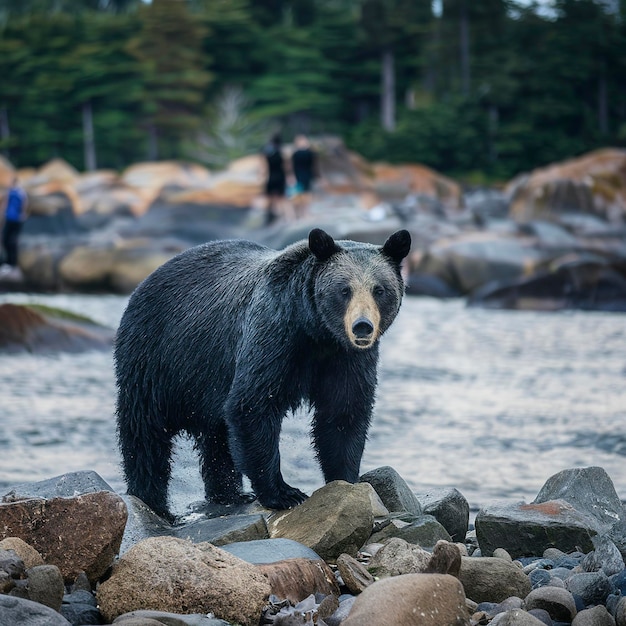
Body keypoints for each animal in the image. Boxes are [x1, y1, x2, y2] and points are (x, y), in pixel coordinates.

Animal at [114, 227, 410, 516]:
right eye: (344, 290)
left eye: (379, 290)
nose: (362, 326)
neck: (316, 332)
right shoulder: (273, 337)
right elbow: (253, 405)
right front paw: (284, 493)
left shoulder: (346, 359)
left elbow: (344, 412)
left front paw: (345, 479)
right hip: (157, 359)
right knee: (145, 434)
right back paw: (152, 501)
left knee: (217, 438)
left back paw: (229, 495)